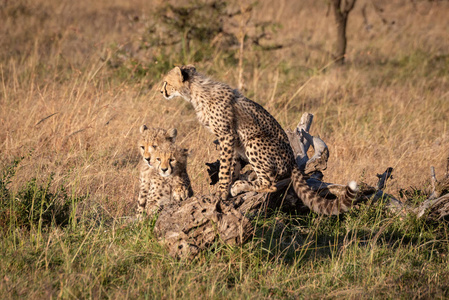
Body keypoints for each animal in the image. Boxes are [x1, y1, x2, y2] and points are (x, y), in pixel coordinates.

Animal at [160, 65, 356, 216]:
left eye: (166, 82)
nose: (161, 91)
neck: (195, 91)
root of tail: (293, 161)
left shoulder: (227, 136)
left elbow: (224, 168)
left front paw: (222, 192)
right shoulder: (231, 140)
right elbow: (232, 165)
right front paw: (229, 184)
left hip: (253, 142)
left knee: (269, 184)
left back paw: (240, 186)